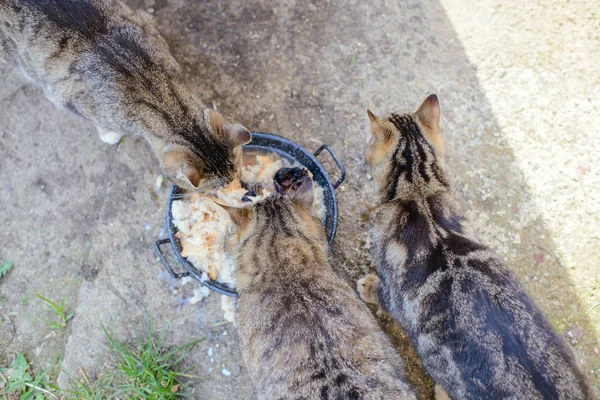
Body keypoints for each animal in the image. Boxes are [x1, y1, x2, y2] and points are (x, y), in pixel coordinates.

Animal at [0, 0, 248, 194]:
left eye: (236, 172)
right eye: (216, 187)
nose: (233, 185)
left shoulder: (143, 23)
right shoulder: (64, 97)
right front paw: (110, 135)